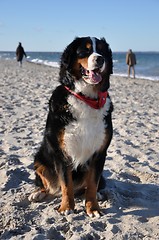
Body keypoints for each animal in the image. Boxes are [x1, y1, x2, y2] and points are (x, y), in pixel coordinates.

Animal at [28, 36, 113, 218]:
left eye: (102, 50)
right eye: (85, 50)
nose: (100, 59)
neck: (86, 98)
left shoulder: (99, 153)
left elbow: (92, 184)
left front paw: (92, 208)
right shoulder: (61, 152)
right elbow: (66, 185)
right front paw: (66, 207)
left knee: (93, 185)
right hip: (39, 160)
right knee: (47, 185)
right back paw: (38, 193)